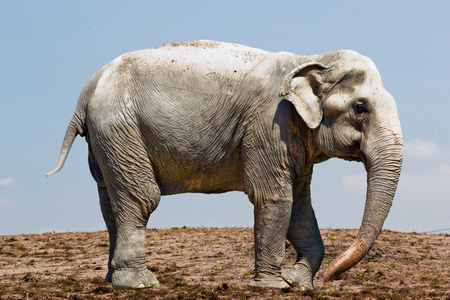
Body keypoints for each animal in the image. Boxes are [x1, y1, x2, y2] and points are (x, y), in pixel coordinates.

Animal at [47, 40, 402, 290]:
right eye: (360, 108)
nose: (328, 280)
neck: (309, 58)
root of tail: (87, 90)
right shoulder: (268, 125)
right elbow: (275, 197)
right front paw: (273, 286)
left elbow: (301, 205)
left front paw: (297, 283)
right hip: (119, 127)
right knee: (141, 198)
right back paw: (140, 284)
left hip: (107, 138)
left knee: (109, 199)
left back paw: (113, 281)